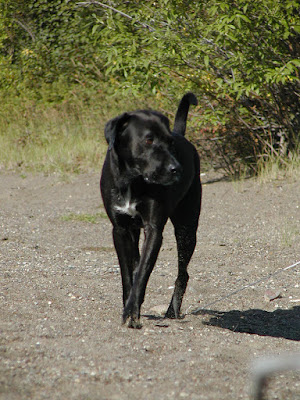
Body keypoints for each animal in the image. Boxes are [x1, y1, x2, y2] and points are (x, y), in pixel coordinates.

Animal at [101, 94, 202, 328]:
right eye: (148, 140)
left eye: (170, 143)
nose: (177, 169)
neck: (132, 181)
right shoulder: (120, 230)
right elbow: (128, 275)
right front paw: (129, 309)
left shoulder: (154, 229)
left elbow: (141, 277)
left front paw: (132, 312)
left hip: (187, 229)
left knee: (183, 274)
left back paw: (172, 310)